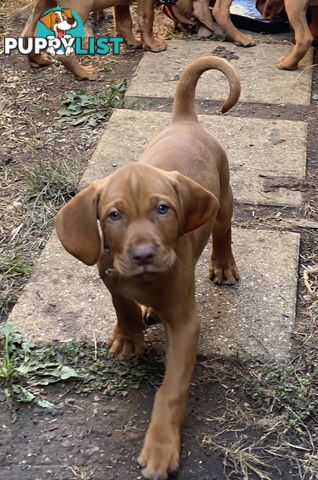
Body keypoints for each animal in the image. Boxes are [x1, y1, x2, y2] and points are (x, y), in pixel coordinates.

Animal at [22, 0, 165, 80]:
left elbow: (124, 21)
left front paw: (133, 42)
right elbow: (147, 18)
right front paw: (152, 45)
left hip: (43, 5)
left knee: (27, 33)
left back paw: (38, 60)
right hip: (79, 8)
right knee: (63, 51)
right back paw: (84, 74)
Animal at [56, 54, 241, 478]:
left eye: (163, 209)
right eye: (114, 215)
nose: (142, 254)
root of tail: (185, 121)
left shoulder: (186, 325)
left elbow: (171, 390)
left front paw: (160, 446)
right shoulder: (109, 274)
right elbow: (121, 304)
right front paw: (129, 334)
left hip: (223, 198)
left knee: (223, 231)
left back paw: (223, 265)